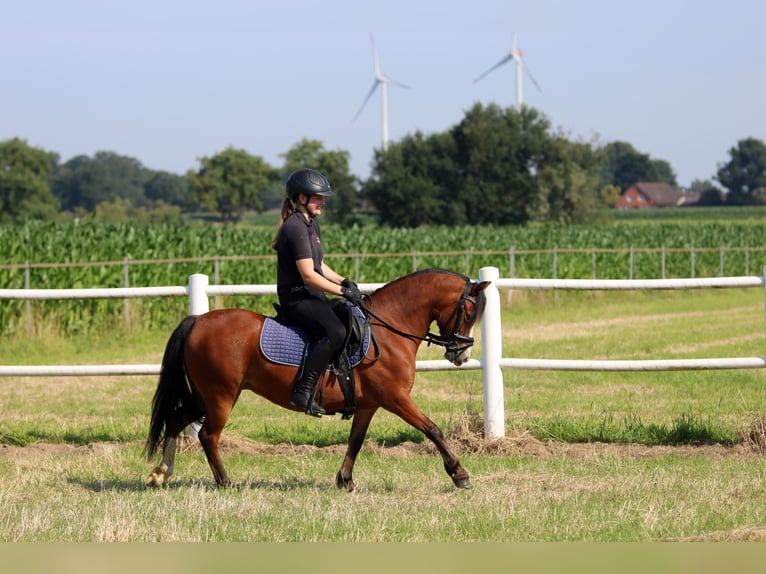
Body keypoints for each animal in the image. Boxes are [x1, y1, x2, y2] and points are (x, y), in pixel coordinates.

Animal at [146, 268, 488, 490]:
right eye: (469, 313)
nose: (461, 355)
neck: (389, 329)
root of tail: (198, 320)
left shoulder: (370, 404)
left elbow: (356, 440)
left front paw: (345, 481)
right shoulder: (396, 398)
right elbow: (432, 429)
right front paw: (459, 475)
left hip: (203, 396)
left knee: (175, 420)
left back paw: (161, 473)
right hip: (220, 396)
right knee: (208, 436)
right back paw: (225, 482)